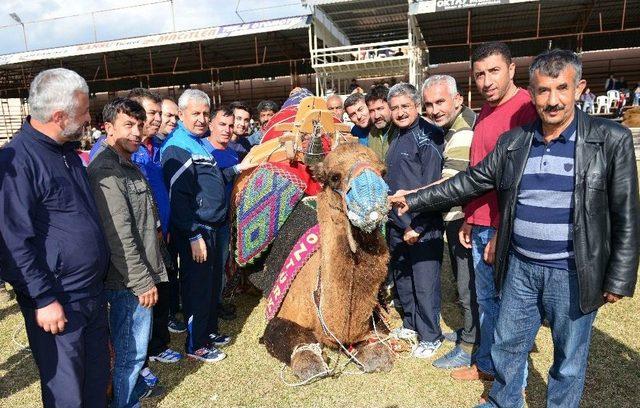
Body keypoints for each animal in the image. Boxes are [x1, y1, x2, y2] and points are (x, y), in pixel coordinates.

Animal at [256, 142, 396, 380]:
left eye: (383, 172)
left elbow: (381, 349)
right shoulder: (283, 313)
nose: (373, 200)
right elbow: (297, 349)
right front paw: (311, 362)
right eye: (334, 177)